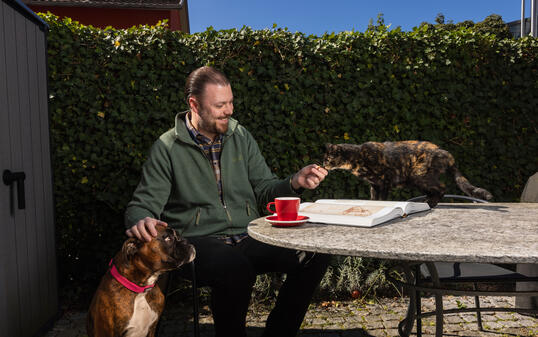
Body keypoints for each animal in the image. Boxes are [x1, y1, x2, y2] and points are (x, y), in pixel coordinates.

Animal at [320, 140, 492, 207]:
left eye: (327, 158)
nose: (322, 164)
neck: (357, 158)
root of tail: (446, 153)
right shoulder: (374, 184)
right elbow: (374, 198)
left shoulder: (384, 181)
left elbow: (382, 198)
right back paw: (426, 201)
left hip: (419, 175)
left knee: (442, 187)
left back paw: (431, 203)